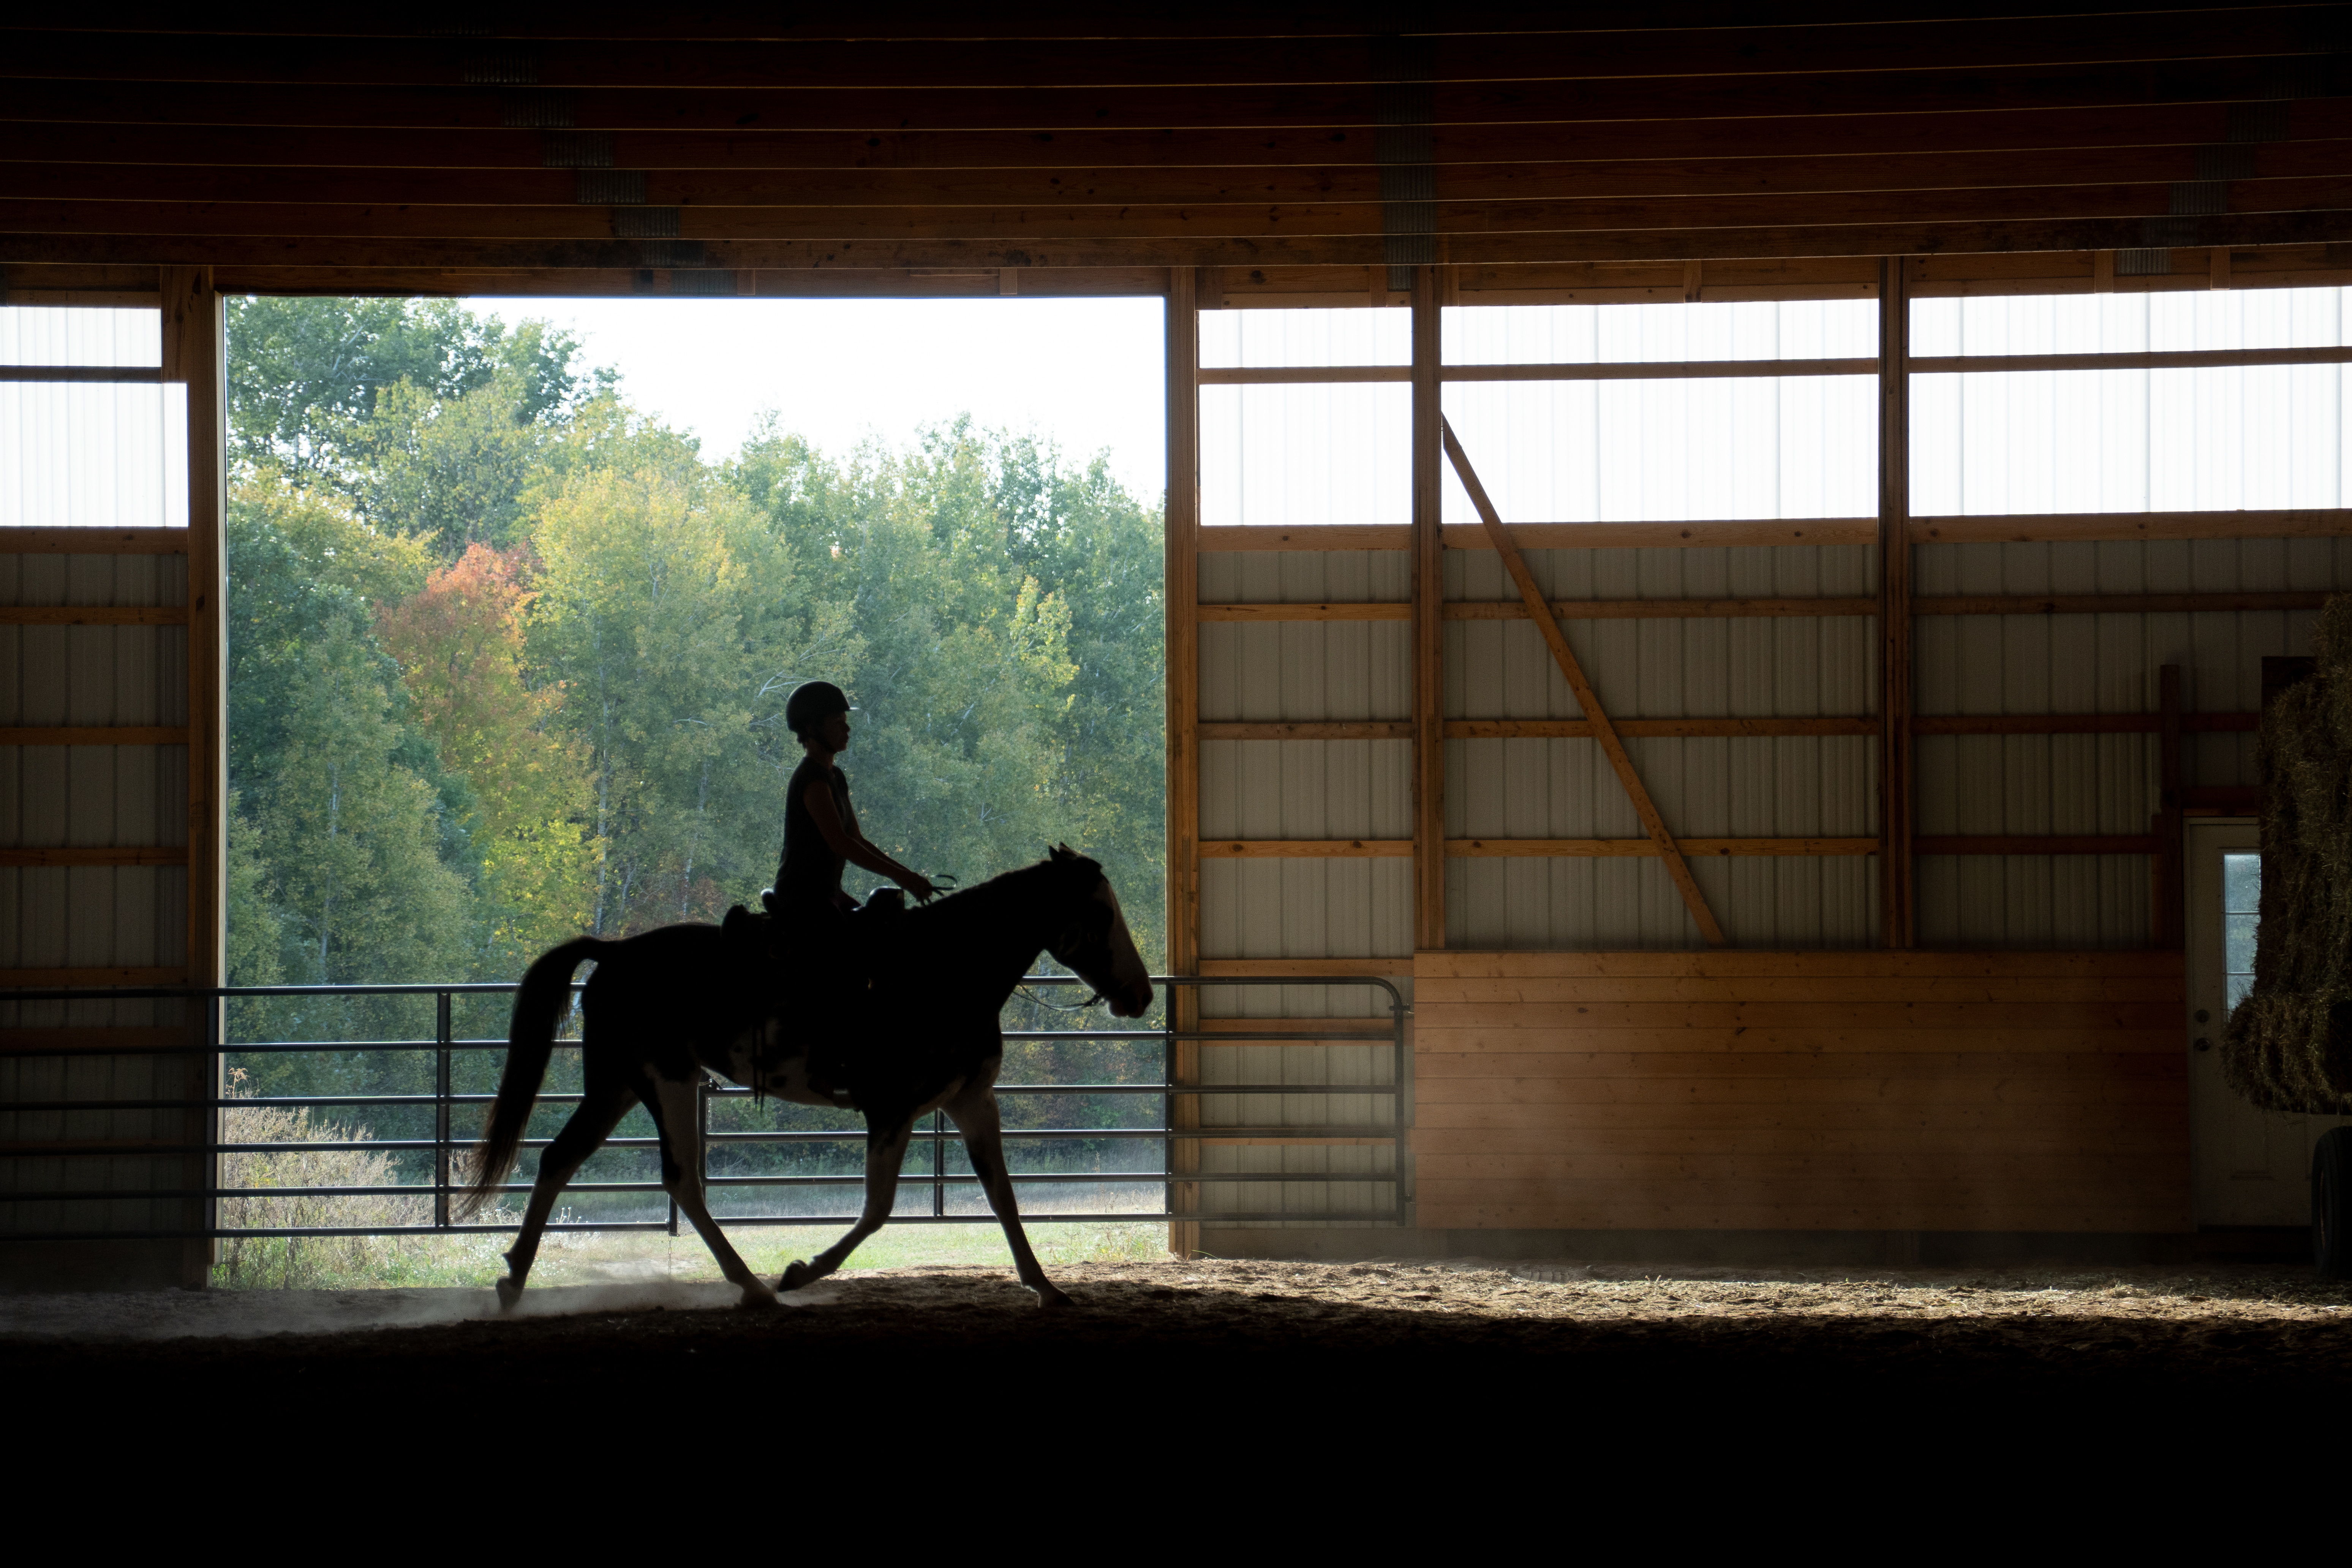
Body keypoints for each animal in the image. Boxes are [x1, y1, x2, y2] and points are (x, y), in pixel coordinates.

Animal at [459, 845, 1154, 1311]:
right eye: (1100, 911)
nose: (1141, 994)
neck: (942, 970)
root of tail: (613, 952)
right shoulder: (891, 1109)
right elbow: (878, 1209)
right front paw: (801, 1272)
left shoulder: (971, 1101)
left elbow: (1003, 1194)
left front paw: (1046, 1286)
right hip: (665, 1080)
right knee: (679, 1178)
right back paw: (753, 1286)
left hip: (619, 1085)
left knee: (562, 1158)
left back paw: (515, 1279)